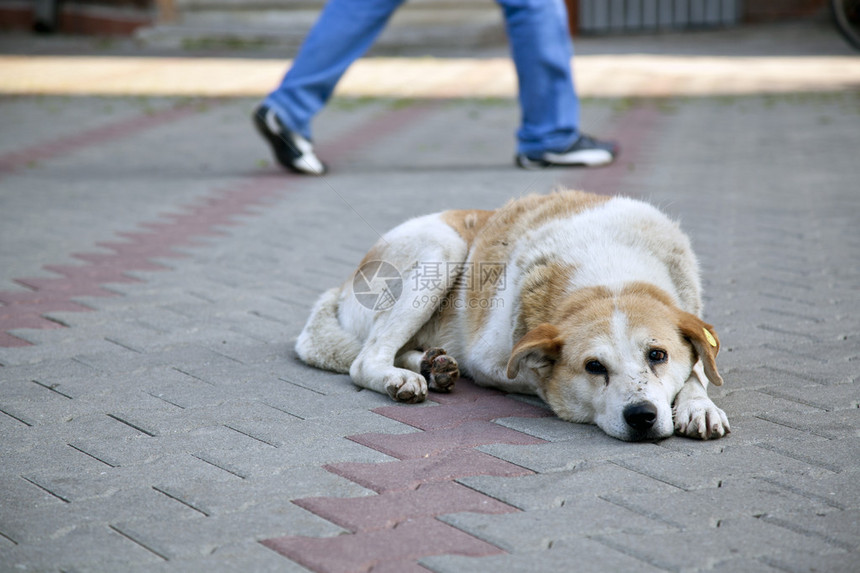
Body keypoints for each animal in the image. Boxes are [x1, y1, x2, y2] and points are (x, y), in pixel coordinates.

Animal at [294, 190, 724, 440]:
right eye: (594, 367)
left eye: (658, 355)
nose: (642, 416)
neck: (609, 272)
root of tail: (343, 283)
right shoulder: (488, 361)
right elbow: (535, 376)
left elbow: (697, 371)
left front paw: (698, 406)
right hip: (441, 250)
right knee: (366, 358)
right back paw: (401, 377)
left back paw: (432, 364)